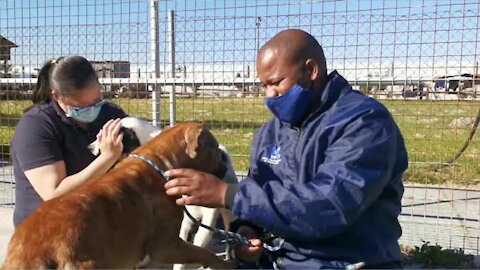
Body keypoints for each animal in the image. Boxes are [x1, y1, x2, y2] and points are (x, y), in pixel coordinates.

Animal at [1, 123, 234, 270]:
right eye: (215, 149)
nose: (225, 166)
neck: (160, 164)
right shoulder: (167, 246)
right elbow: (203, 252)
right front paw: (223, 264)